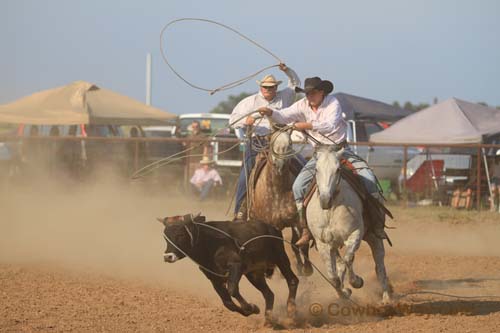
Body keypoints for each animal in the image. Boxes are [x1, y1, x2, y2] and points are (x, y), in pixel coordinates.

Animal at [247, 125, 312, 274]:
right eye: (272, 143)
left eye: (290, 144)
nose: (280, 164)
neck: (277, 191)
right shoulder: (271, 226)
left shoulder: (297, 221)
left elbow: (300, 244)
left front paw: (306, 268)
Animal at [306, 144, 392, 302]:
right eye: (316, 169)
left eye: (338, 169)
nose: (325, 200)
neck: (331, 210)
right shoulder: (322, 243)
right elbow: (333, 278)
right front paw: (343, 293)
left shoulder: (355, 234)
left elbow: (349, 259)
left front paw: (356, 282)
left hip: (373, 236)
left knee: (379, 266)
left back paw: (387, 298)